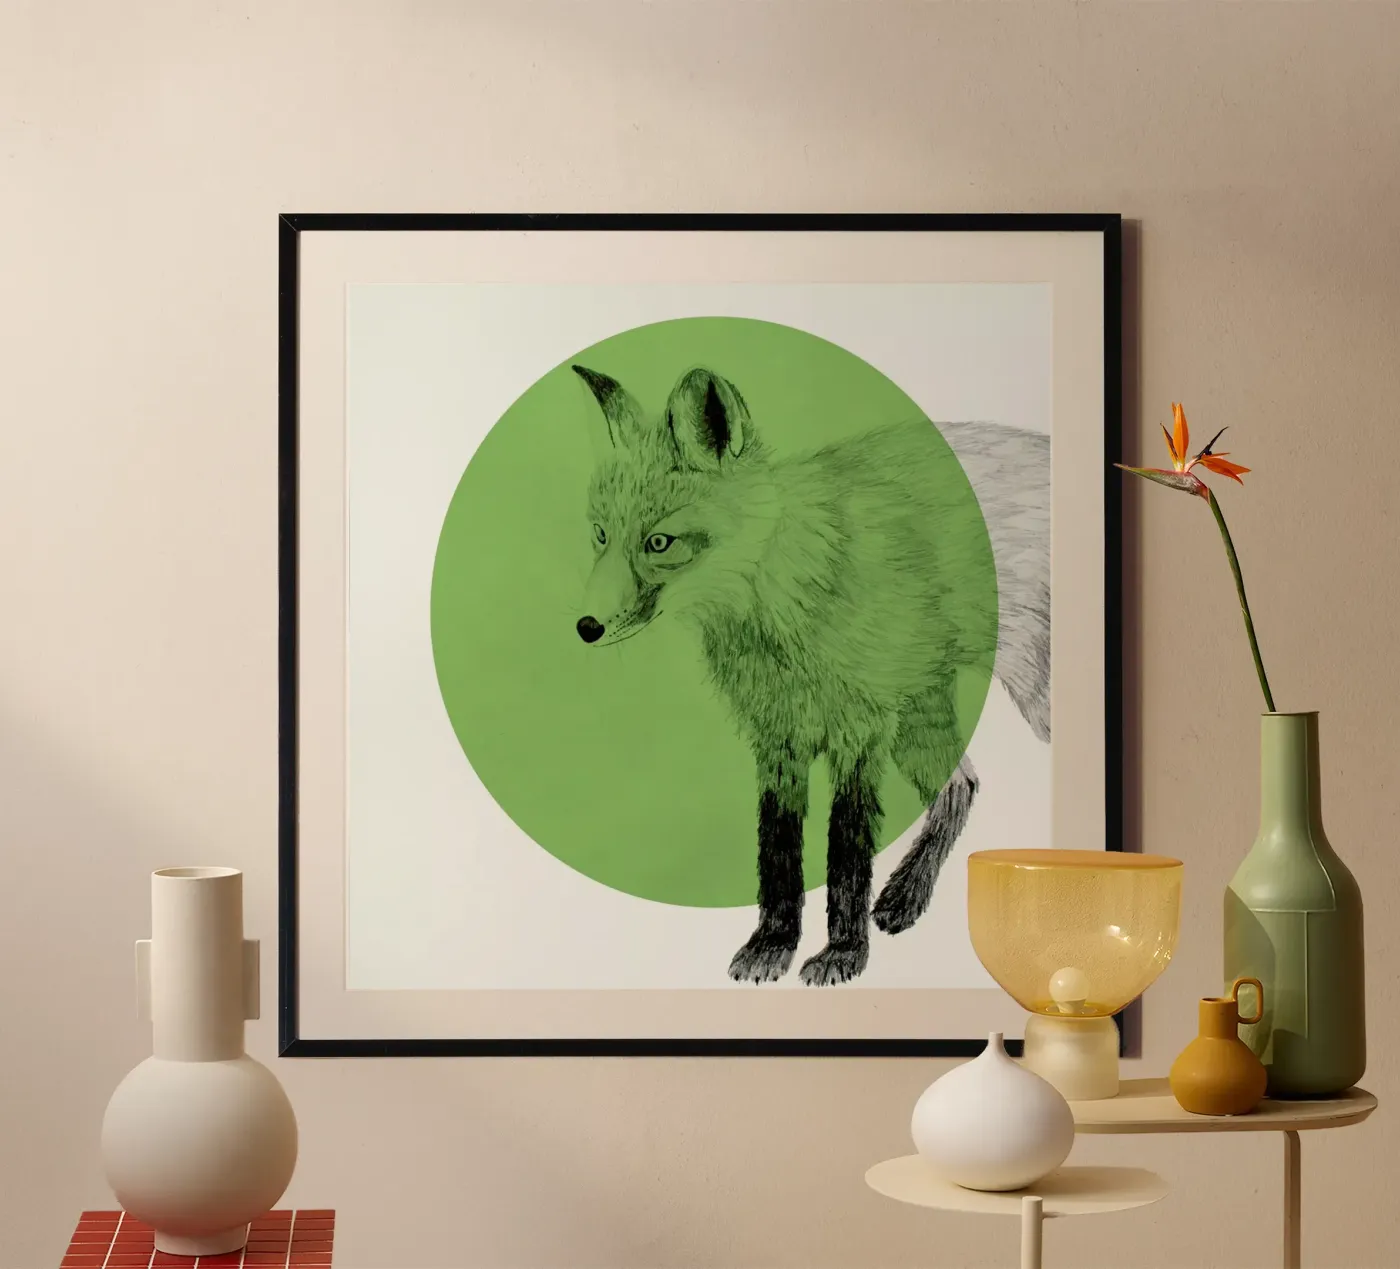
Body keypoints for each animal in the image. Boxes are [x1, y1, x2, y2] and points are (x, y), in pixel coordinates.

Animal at [571, 362, 1050, 986]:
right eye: (601, 534)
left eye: (659, 543)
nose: (586, 627)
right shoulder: (777, 736)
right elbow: (777, 851)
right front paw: (773, 945)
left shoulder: (859, 731)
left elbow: (845, 854)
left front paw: (843, 953)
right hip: (919, 709)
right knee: (960, 785)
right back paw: (905, 898)